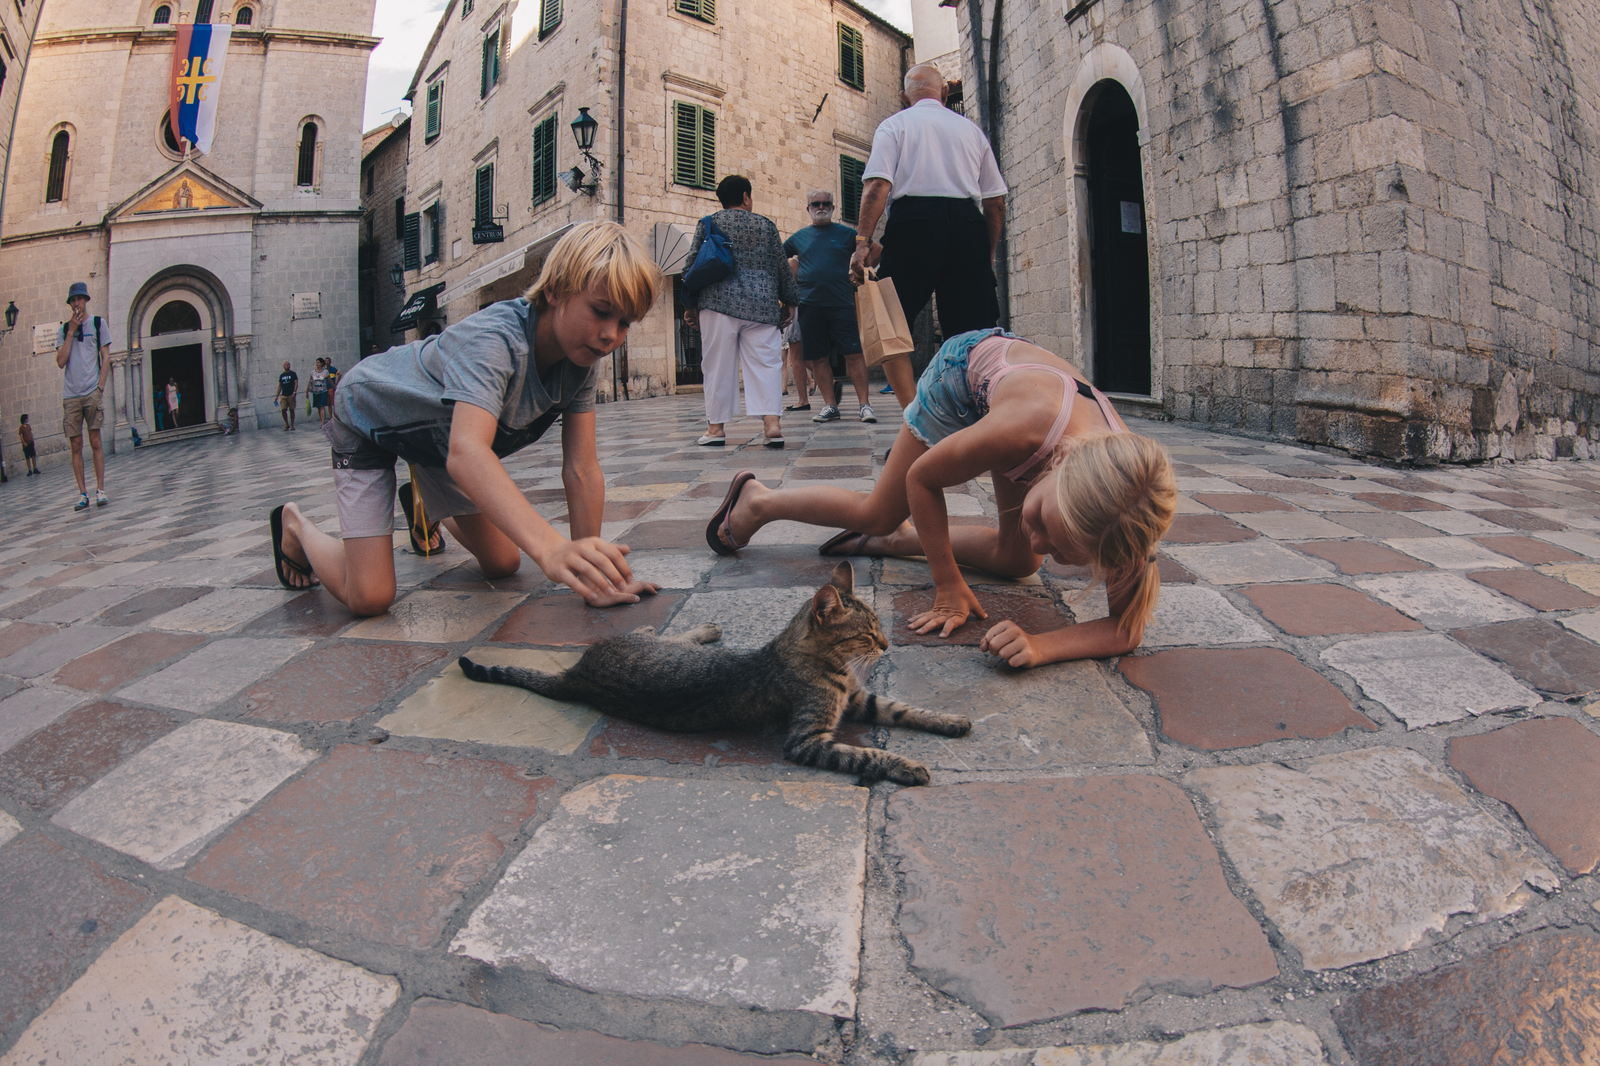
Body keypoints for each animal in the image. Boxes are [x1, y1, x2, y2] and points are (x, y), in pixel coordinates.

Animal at [457, 560, 966, 784]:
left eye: (880, 627)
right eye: (866, 634)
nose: (887, 644)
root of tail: (577, 673)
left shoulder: (860, 698)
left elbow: (903, 708)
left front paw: (950, 721)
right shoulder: (807, 739)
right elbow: (864, 755)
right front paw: (905, 765)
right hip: (642, 647)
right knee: (655, 633)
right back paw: (697, 627)